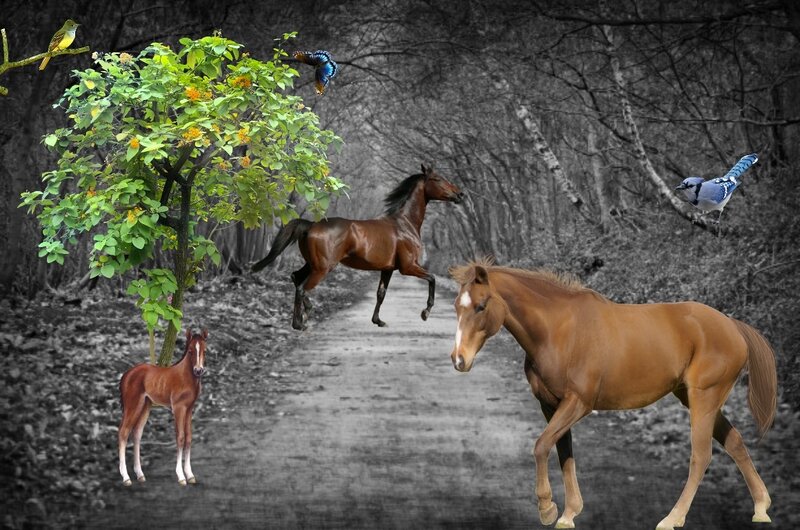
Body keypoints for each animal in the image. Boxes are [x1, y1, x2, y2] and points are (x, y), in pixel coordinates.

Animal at [118, 329, 208, 486]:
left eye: (205, 350)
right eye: (190, 351)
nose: (198, 370)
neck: (186, 377)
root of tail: (126, 374)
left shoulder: (189, 409)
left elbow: (189, 438)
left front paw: (190, 475)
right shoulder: (178, 408)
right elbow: (180, 437)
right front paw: (181, 476)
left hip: (145, 406)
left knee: (137, 433)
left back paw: (140, 474)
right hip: (133, 405)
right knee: (123, 432)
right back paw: (126, 477)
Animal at [252, 163, 464, 330]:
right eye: (437, 178)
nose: (460, 194)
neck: (404, 224)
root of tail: (311, 225)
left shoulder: (388, 269)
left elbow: (381, 294)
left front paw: (378, 321)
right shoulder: (408, 267)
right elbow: (432, 278)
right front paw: (425, 313)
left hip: (312, 264)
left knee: (295, 278)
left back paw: (299, 320)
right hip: (322, 268)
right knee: (302, 287)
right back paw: (303, 319)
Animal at [448, 259, 777, 530]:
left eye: (480, 306)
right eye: (456, 307)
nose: (459, 359)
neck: (558, 331)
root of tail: (732, 325)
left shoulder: (578, 404)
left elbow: (541, 446)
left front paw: (547, 508)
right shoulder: (551, 406)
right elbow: (563, 452)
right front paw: (569, 514)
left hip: (703, 398)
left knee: (701, 456)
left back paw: (672, 518)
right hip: (695, 398)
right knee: (734, 443)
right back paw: (761, 508)